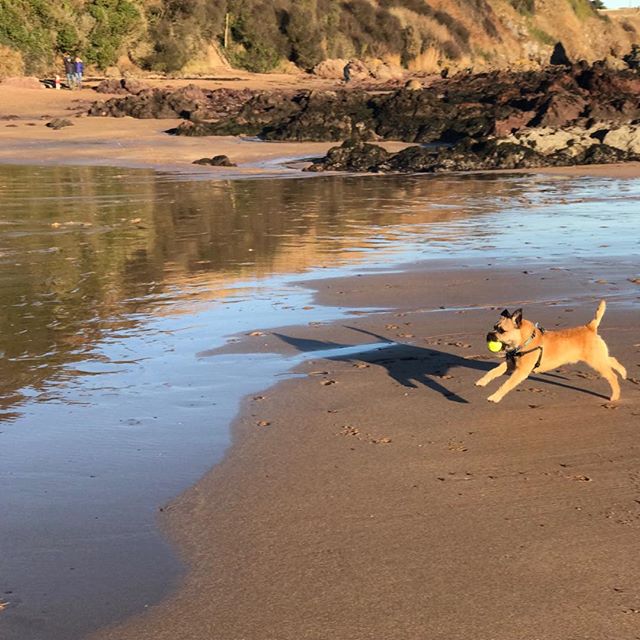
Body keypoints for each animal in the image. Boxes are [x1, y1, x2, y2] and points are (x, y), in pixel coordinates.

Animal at [476, 302, 624, 402]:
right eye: (494, 327)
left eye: (501, 331)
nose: (488, 335)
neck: (526, 341)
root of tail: (589, 328)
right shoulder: (510, 365)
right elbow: (493, 371)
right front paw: (482, 381)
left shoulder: (521, 372)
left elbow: (506, 384)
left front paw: (495, 396)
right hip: (599, 357)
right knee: (612, 359)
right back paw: (623, 372)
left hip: (596, 361)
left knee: (612, 376)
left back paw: (615, 395)